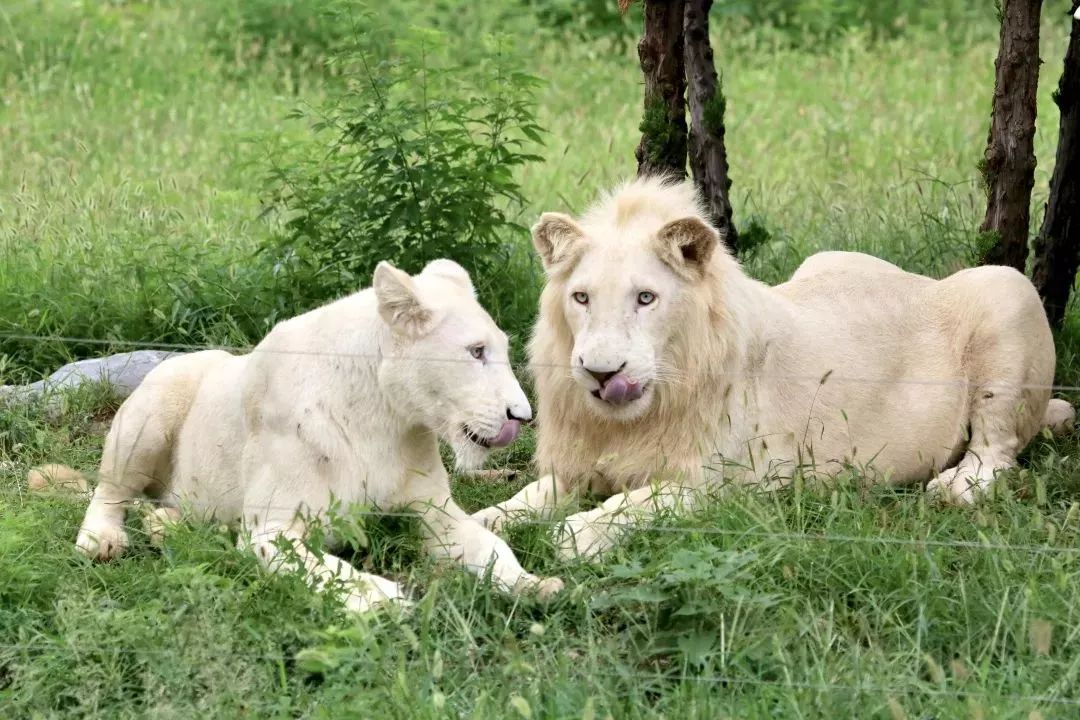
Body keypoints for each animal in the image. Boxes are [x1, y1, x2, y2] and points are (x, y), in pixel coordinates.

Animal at [477, 177, 1075, 561]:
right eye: (580, 298)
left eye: (646, 298)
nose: (601, 373)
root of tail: (922, 281)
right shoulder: (576, 467)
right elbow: (524, 501)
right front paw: (481, 526)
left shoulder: (731, 484)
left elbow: (631, 506)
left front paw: (576, 536)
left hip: (1006, 291)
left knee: (997, 451)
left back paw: (954, 488)